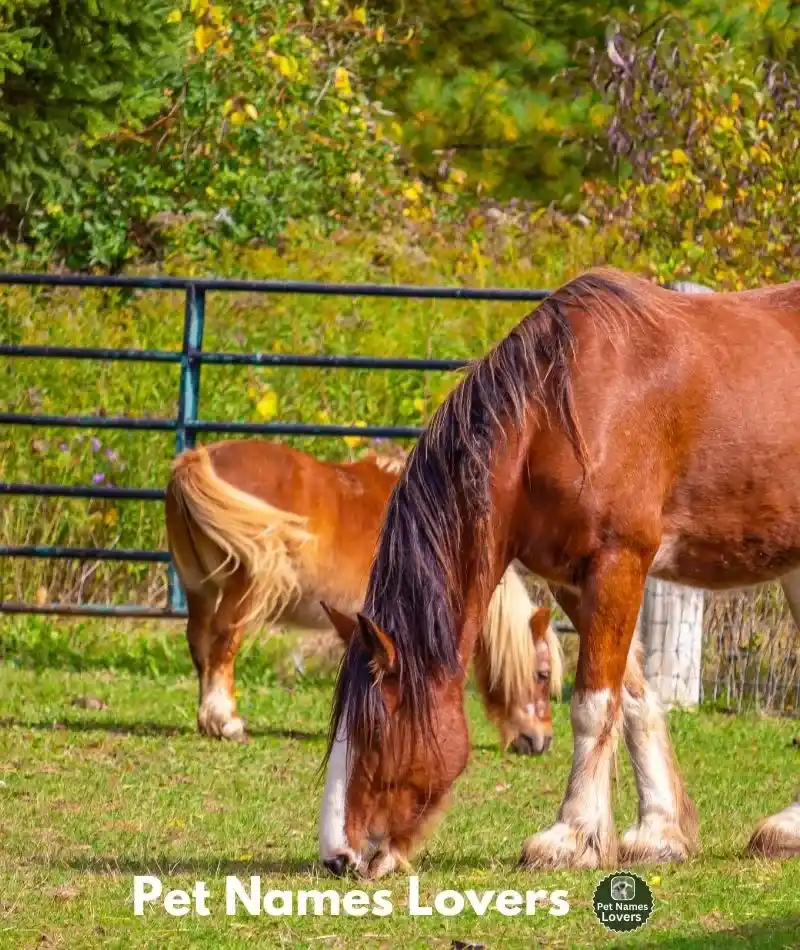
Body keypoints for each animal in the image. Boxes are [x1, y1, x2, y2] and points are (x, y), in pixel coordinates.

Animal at [163, 442, 564, 756]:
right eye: (542, 675)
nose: (542, 741)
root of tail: (194, 461)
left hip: (199, 590)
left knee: (199, 643)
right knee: (223, 643)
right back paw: (225, 721)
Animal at [318, 264, 800, 880]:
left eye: (375, 731)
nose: (337, 857)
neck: (552, 415)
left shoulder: (620, 562)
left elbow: (593, 705)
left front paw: (571, 837)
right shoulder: (574, 580)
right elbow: (634, 700)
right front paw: (658, 833)